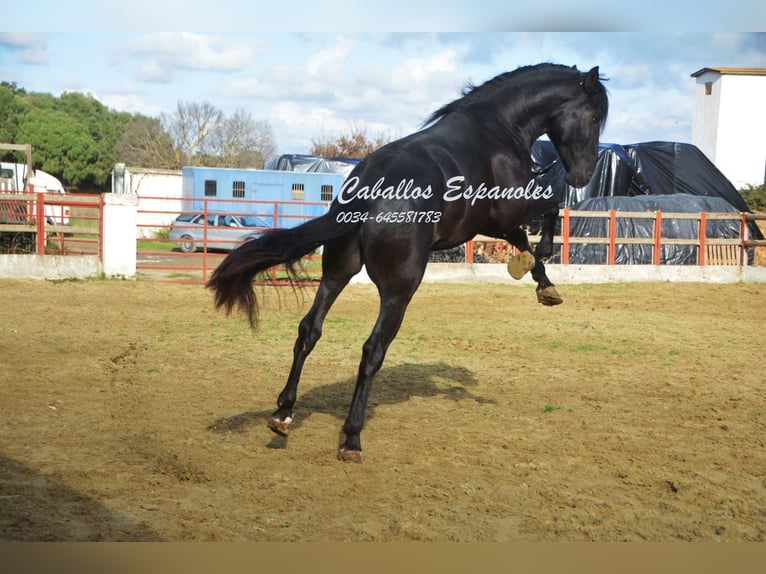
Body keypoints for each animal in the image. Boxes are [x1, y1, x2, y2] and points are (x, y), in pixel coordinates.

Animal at [206, 63, 612, 464]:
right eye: (593, 116)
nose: (581, 176)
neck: (499, 128)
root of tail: (366, 190)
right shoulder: (510, 209)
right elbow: (551, 208)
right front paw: (542, 257)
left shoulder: (494, 224)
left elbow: (522, 239)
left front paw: (543, 283)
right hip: (400, 291)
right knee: (372, 350)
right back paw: (351, 438)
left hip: (337, 273)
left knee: (309, 330)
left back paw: (283, 414)